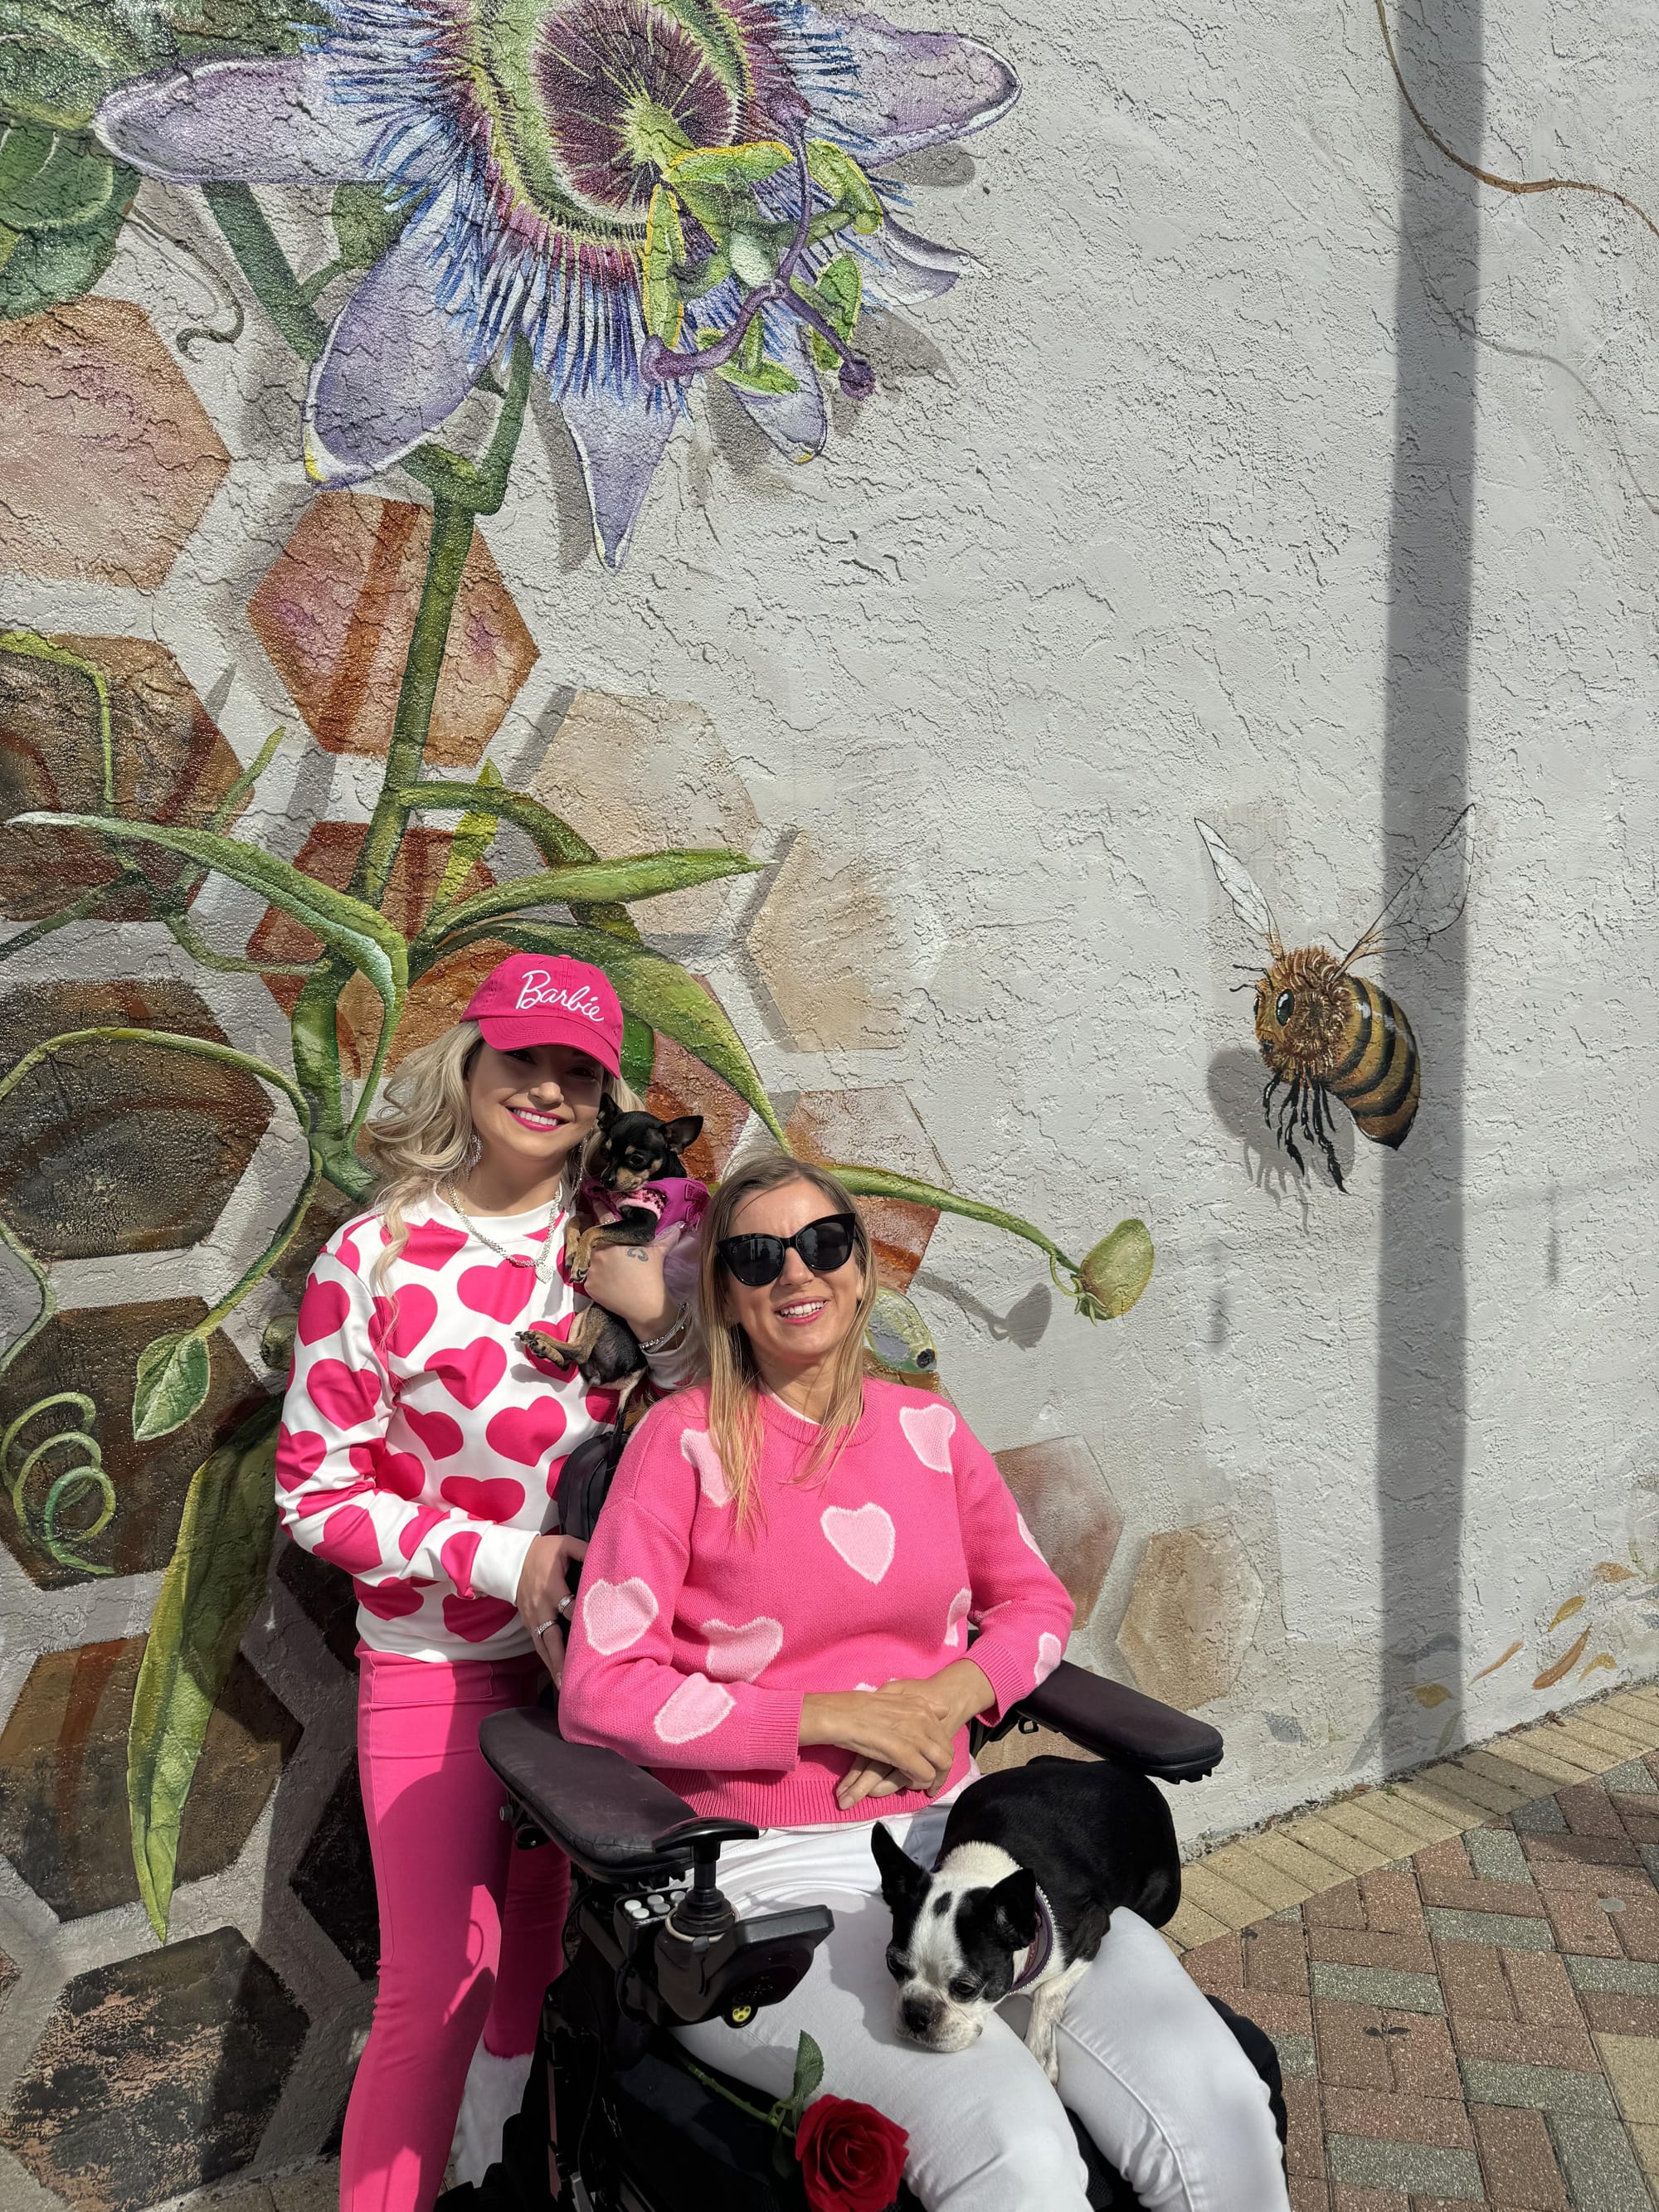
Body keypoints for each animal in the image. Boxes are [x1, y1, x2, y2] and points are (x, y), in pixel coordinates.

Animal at [876, 1752, 1185, 2078]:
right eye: (893, 1965)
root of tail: (1142, 1781)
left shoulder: (1093, 1926)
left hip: (1160, 1899)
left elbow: (1047, 1991)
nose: (916, 2014)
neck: (984, 1866)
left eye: (965, 1988)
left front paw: (1040, 2052)